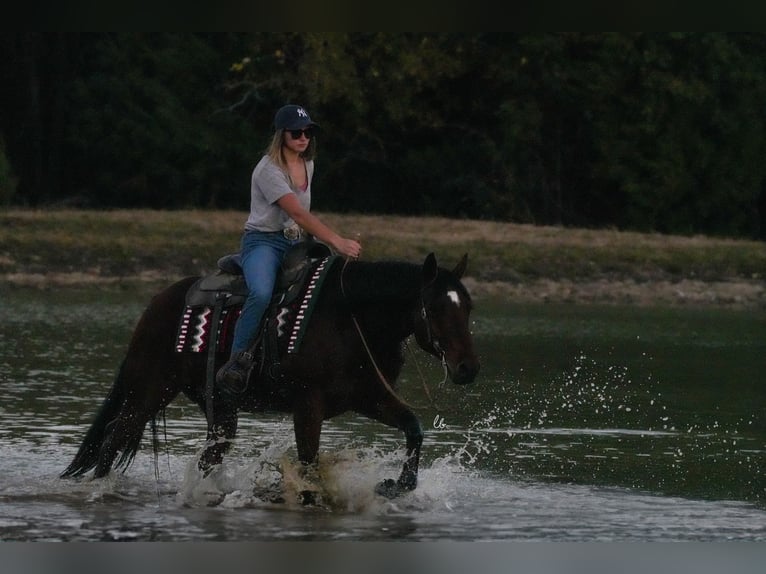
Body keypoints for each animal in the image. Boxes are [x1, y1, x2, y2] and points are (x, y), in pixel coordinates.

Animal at [60, 250, 480, 502]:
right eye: (435, 307)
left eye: (468, 306)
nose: (468, 368)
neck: (351, 318)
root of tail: (155, 303)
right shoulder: (308, 405)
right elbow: (309, 463)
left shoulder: (369, 397)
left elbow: (413, 427)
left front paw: (397, 485)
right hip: (150, 387)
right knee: (114, 437)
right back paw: (99, 490)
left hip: (218, 407)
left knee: (210, 454)